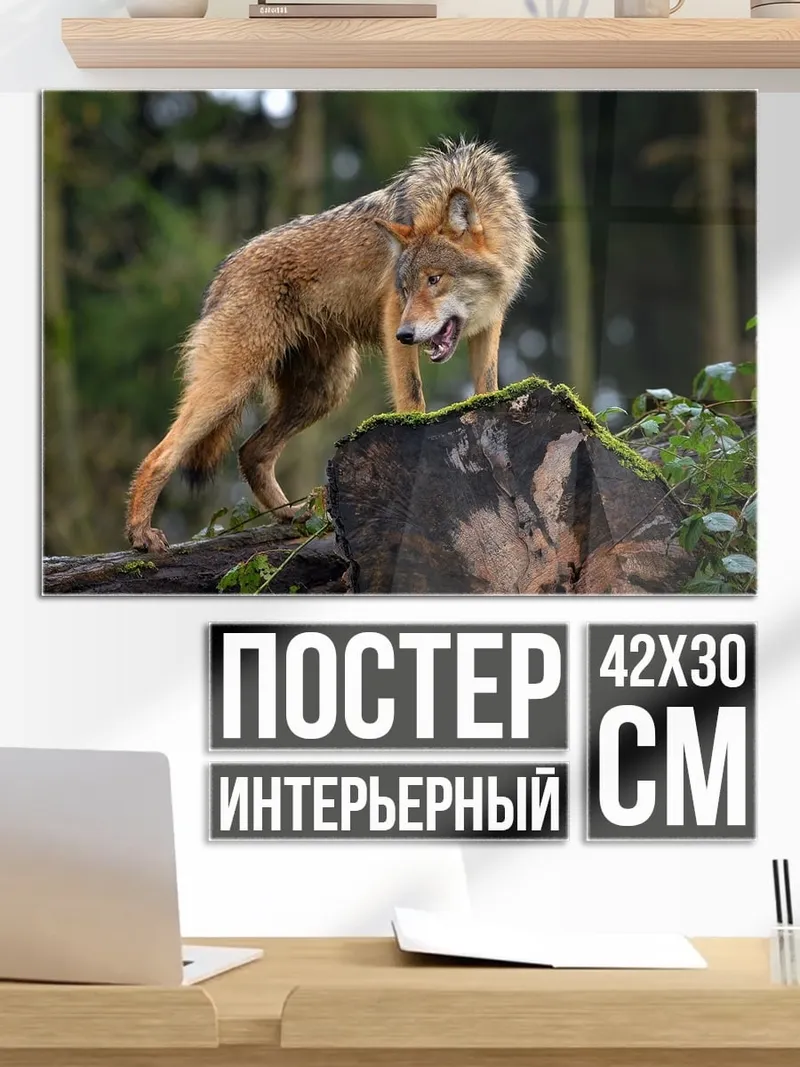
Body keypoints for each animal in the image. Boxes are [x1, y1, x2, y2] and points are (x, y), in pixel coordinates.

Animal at [126, 138, 539, 553]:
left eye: (434, 279)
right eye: (405, 289)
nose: (405, 335)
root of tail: (223, 271)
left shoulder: (490, 325)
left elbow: (487, 389)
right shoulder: (393, 314)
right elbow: (413, 398)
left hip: (323, 391)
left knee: (250, 452)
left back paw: (295, 517)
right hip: (232, 387)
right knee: (161, 455)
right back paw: (140, 534)